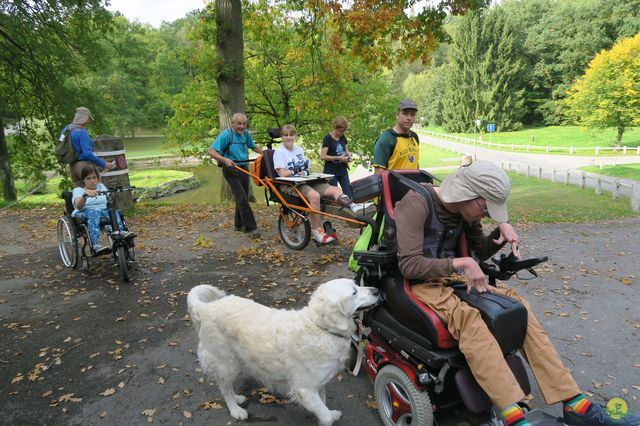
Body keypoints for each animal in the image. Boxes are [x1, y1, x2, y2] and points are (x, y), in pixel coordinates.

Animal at [189, 280, 380, 426]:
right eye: (354, 292)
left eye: (357, 284)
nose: (377, 290)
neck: (322, 328)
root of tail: (207, 308)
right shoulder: (305, 391)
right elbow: (325, 416)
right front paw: (330, 417)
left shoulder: (320, 384)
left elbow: (324, 406)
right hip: (226, 363)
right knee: (224, 388)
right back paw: (236, 410)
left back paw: (237, 398)